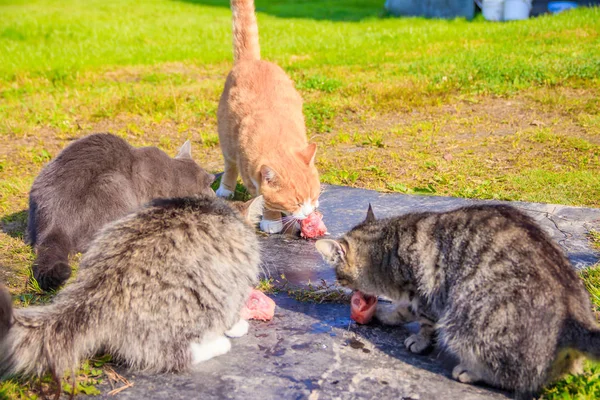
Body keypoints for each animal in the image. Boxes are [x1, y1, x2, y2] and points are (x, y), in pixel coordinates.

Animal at [0, 195, 262, 382]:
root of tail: (98, 290)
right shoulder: (237, 278)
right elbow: (234, 312)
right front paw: (238, 325)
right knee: (172, 355)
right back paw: (218, 345)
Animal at [316, 205, 596, 398]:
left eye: (339, 276)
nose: (345, 288)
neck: (385, 246)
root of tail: (573, 315)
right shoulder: (413, 296)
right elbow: (402, 311)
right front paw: (385, 314)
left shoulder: (425, 293)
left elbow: (423, 321)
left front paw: (419, 340)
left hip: (469, 316)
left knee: (512, 376)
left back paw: (471, 371)